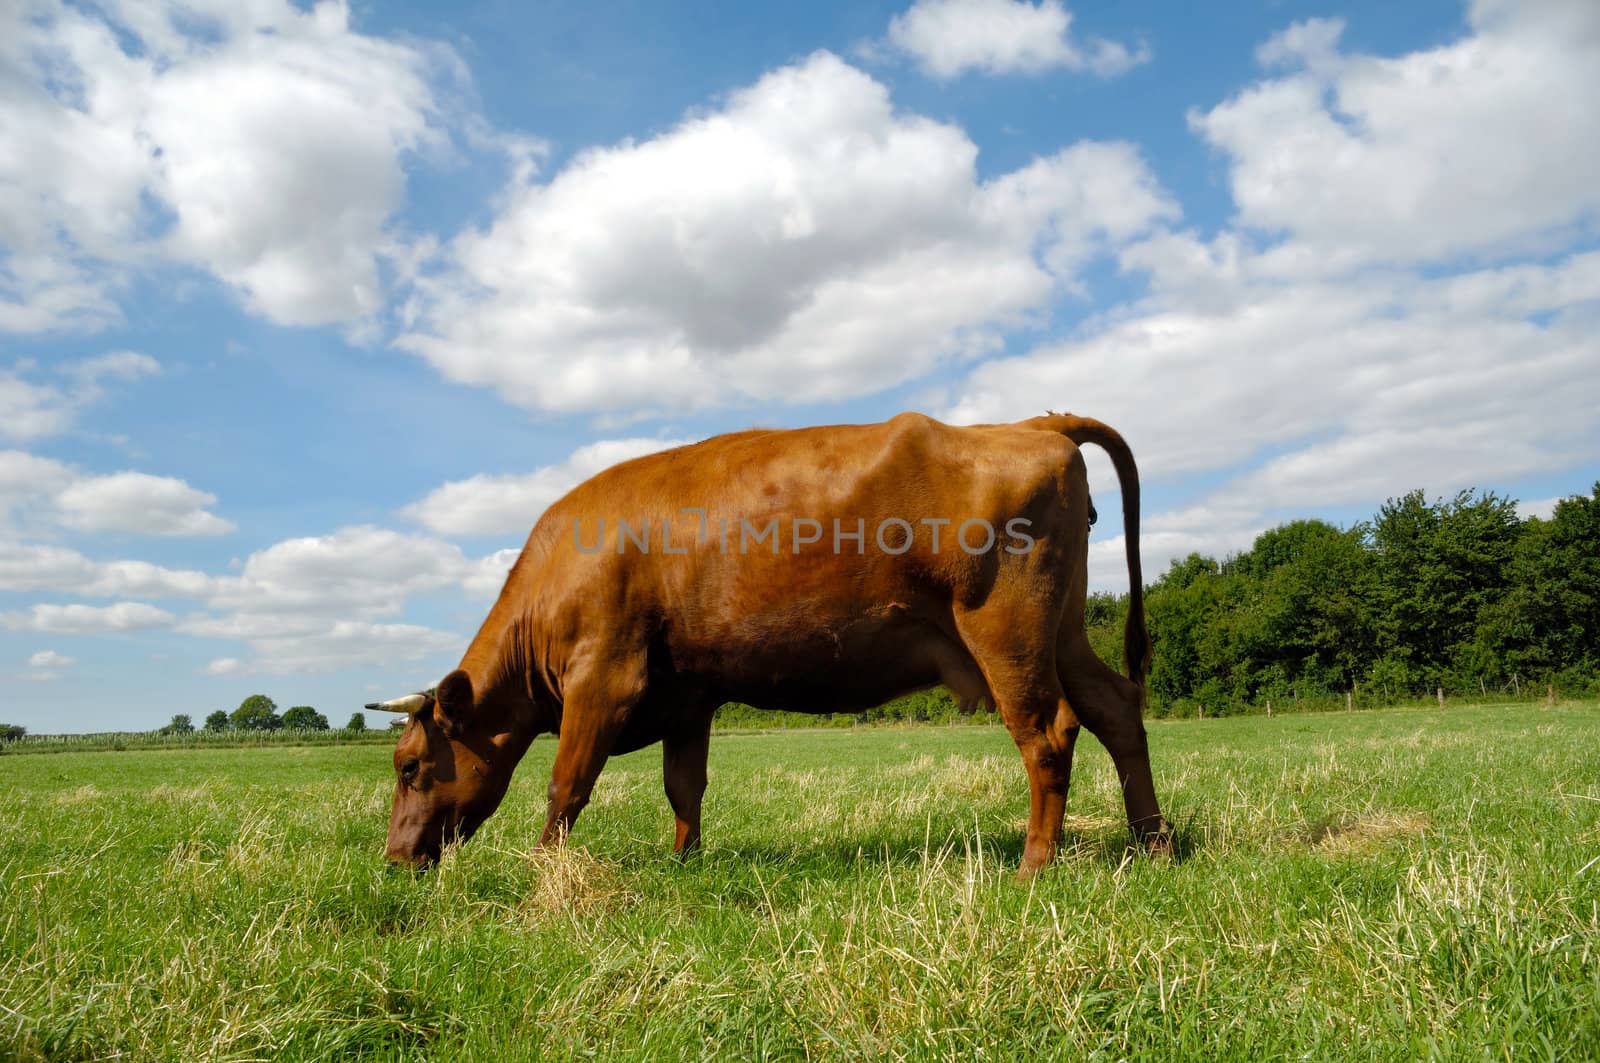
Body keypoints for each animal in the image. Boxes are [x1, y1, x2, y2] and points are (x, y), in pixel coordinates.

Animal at [374, 409, 1177, 877]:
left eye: (411, 765)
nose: (394, 859)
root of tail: (1029, 422)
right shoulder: (688, 692)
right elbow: (684, 783)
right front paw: (684, 861)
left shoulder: (602, 676)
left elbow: (566, 782)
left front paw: (542, 869)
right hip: (1062, 629)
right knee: (1115, 709)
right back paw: (1155, 842)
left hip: (1007, 632)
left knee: (1049, 732)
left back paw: (1037, 863)